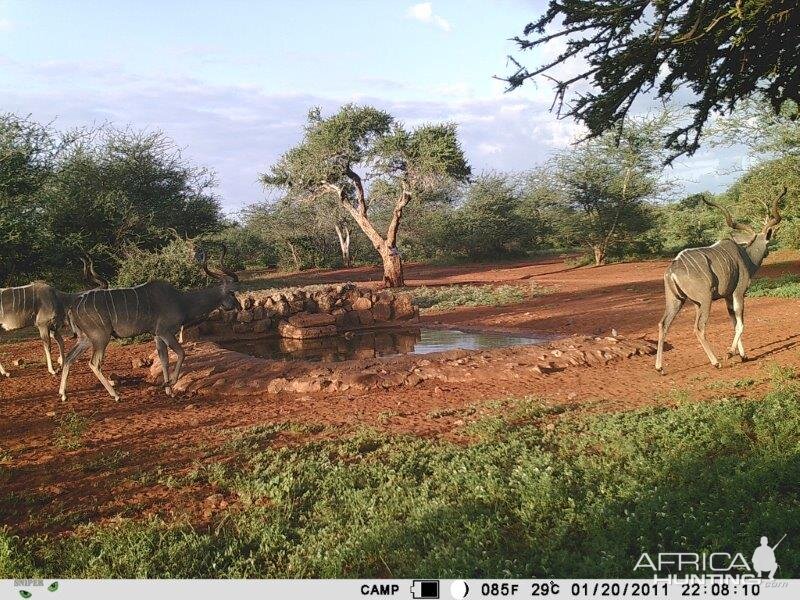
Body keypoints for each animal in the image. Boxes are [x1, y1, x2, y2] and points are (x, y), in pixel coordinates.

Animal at [59, 248, 241, 404]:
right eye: (232, 293)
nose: (239, 307)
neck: (182, 301)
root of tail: (72, 307)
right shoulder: (165, 332)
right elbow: (181, 353)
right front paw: (169, 383)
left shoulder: (157, 335)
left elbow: (164, 360)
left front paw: (169, 391)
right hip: (101, 337)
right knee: (93, 363)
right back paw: (116, 395)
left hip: (86, 339)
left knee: (69, 357)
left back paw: (63, 394)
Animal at [656, 190, 788, 372]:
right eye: (768, 242)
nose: (768, 252)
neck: (745, 256)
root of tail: (672, 269)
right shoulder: (739, 292)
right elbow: (740, 323)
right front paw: (730, 353)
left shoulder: (727, 296)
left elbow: (733, 321)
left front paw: (743, 355)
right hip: (705, 300)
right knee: (699, 328)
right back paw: (715, 362)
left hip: (678, 301)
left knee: (663, 324)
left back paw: (659, 367)